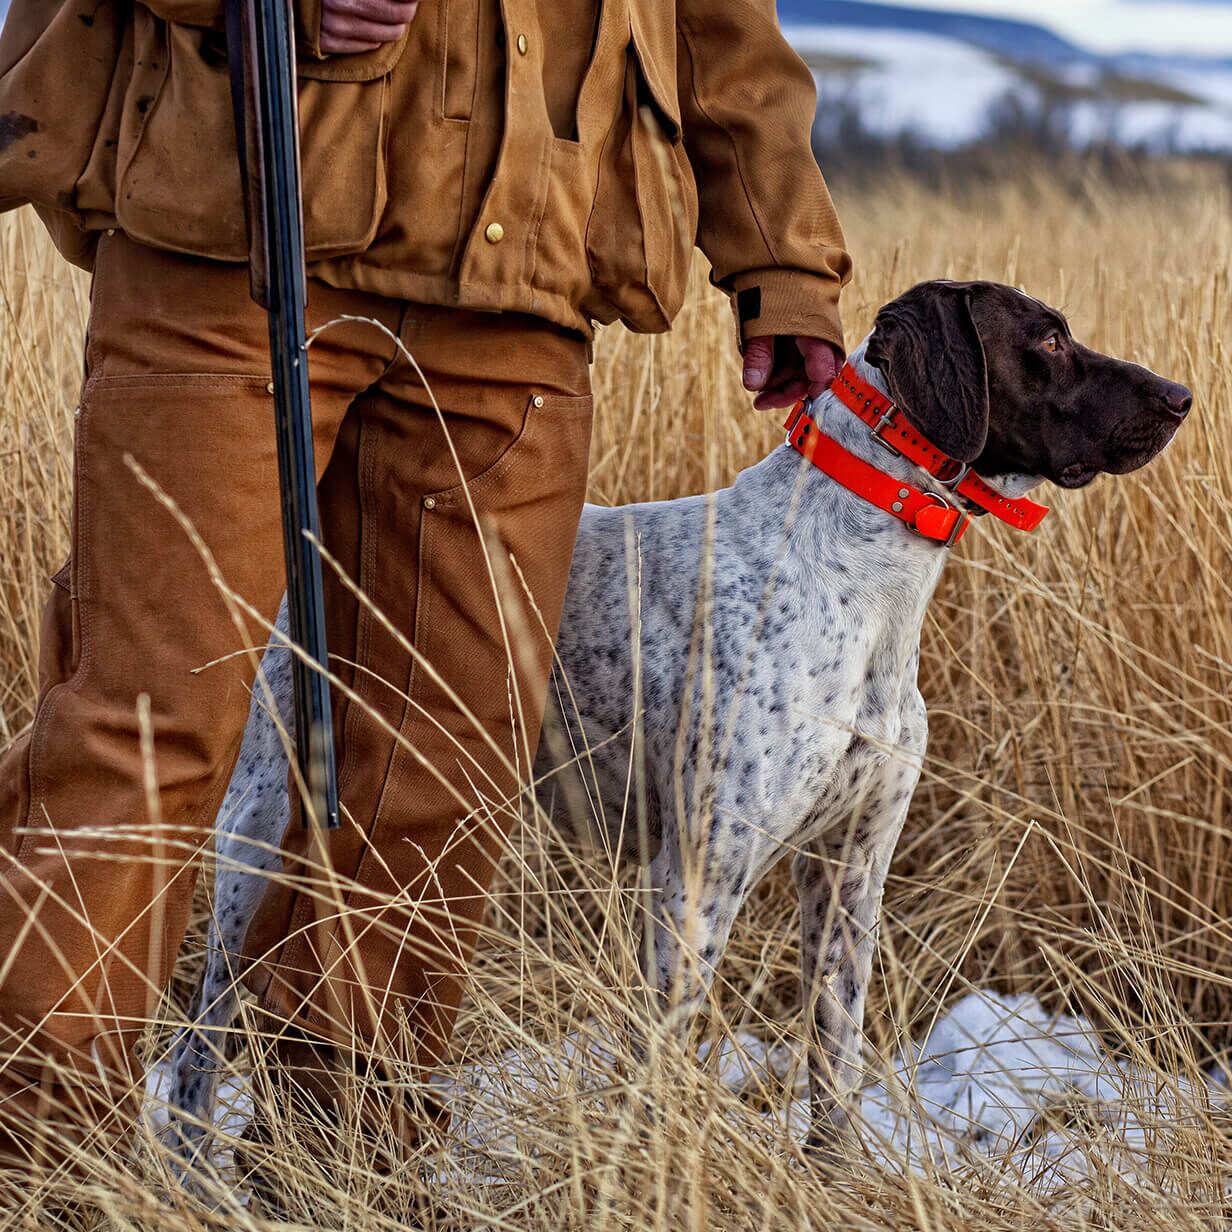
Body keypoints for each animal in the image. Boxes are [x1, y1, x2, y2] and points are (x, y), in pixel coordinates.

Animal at [158, 279, 1187, 1163]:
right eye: (1046, 339)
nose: (1180, 395)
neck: (863, 584)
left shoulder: (850, 869)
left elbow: (835, 1056)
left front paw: (836, 1173)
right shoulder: (697, 874)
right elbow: (655, 1066)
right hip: (256, 834)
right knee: (197, 1051)